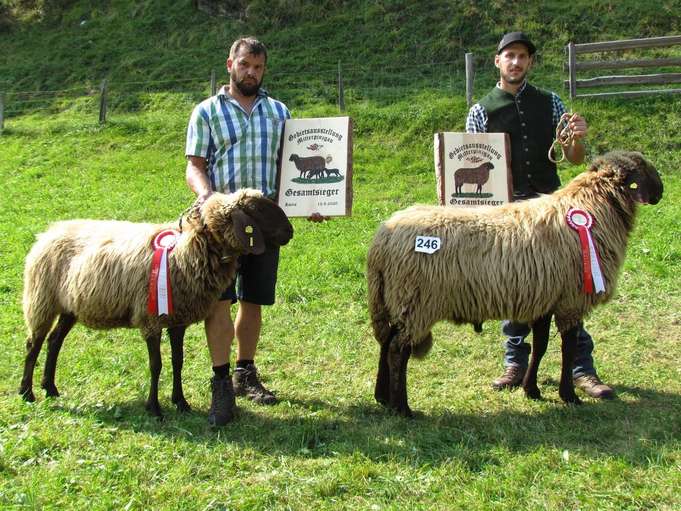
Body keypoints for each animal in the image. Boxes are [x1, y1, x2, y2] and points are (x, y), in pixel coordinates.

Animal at [19, 190, 292, 418]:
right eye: (257, 209)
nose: (290, 231)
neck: (188, 249)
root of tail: (47, 232)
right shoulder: (150, 319)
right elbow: (156, 365)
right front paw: (155, 408)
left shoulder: (177, 319)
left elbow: (177, 361)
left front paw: (181, 402)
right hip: (42, 298)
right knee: (34, 343)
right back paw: (27, 392)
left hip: (69, 306)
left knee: (54, 341)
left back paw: (50, 387)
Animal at [370, 151, 660, 416]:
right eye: (644, 168)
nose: (661, 192)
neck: (591, 208)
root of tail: (383, 239)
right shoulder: (570, 302)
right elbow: (568, 348)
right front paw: (568, 396)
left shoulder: (545, 300)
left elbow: (541, 346)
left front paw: (531, 390)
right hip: (415, 303)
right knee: (398, 350)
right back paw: (402, 408)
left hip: (395, 300)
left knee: (386, 341)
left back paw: (383, 397)